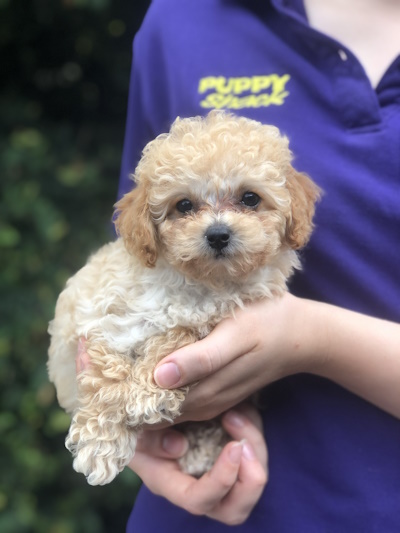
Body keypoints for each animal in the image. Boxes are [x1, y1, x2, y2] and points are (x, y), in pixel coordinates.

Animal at [48, 112, 320, 486]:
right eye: (184, 205)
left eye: (250, 198)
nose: (218, 234)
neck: (199, 283)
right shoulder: (105, 320)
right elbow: (107, 376)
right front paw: (100, 446)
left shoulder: (219, 315)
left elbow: (179, 333)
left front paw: (148, 392)